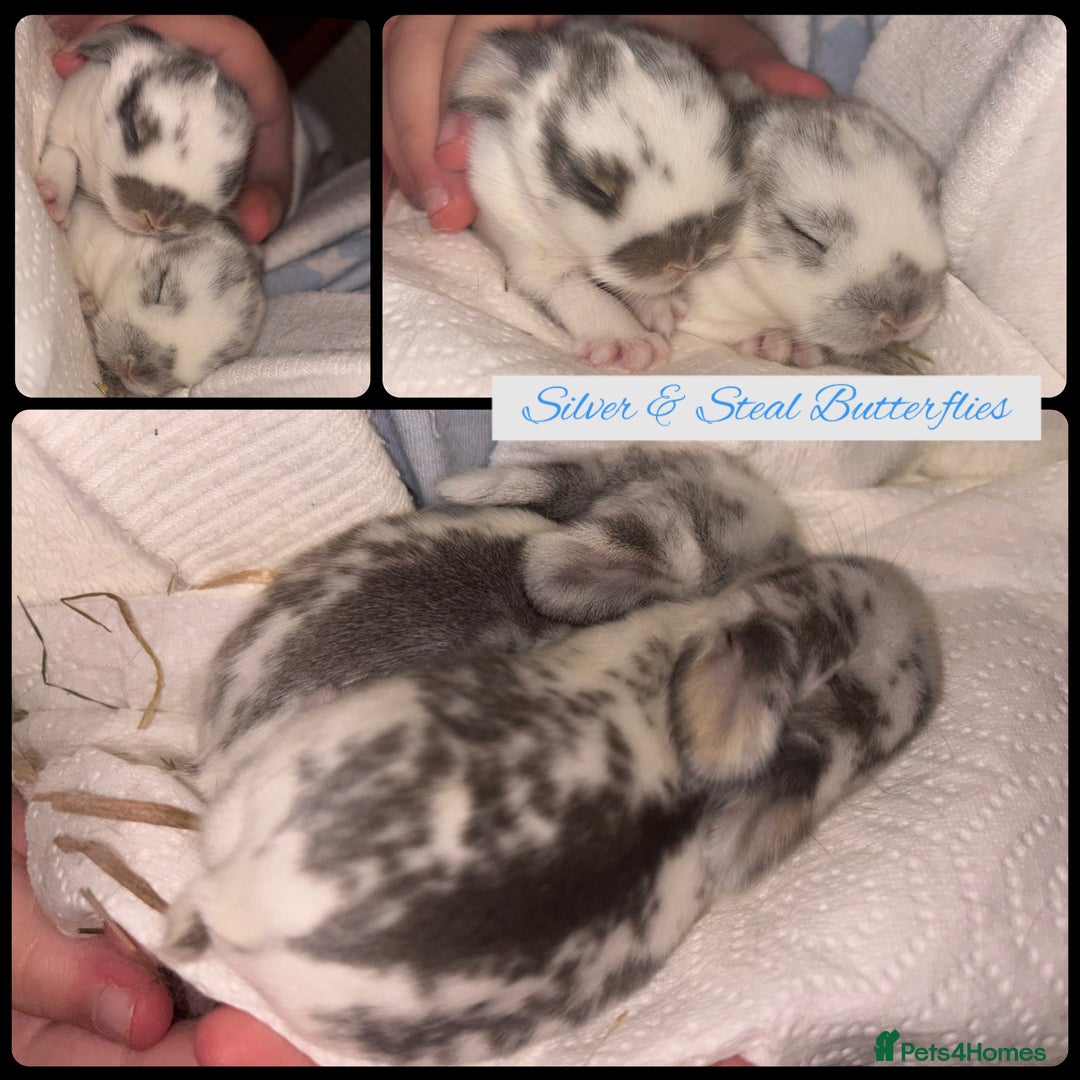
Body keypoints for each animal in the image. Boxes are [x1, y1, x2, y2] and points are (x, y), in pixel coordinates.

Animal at [35, 23, 254, 241]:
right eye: (133, 132)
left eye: (230, 180)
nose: (156, 221)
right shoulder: (66, 123)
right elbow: (62, 158)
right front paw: (52, 204)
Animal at [449, 21, 744, 372]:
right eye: (594, 187)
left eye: (728, 152)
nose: (687, 262)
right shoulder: (524, 246)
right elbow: (573, 287)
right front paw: (627, 345)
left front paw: (660, 309)